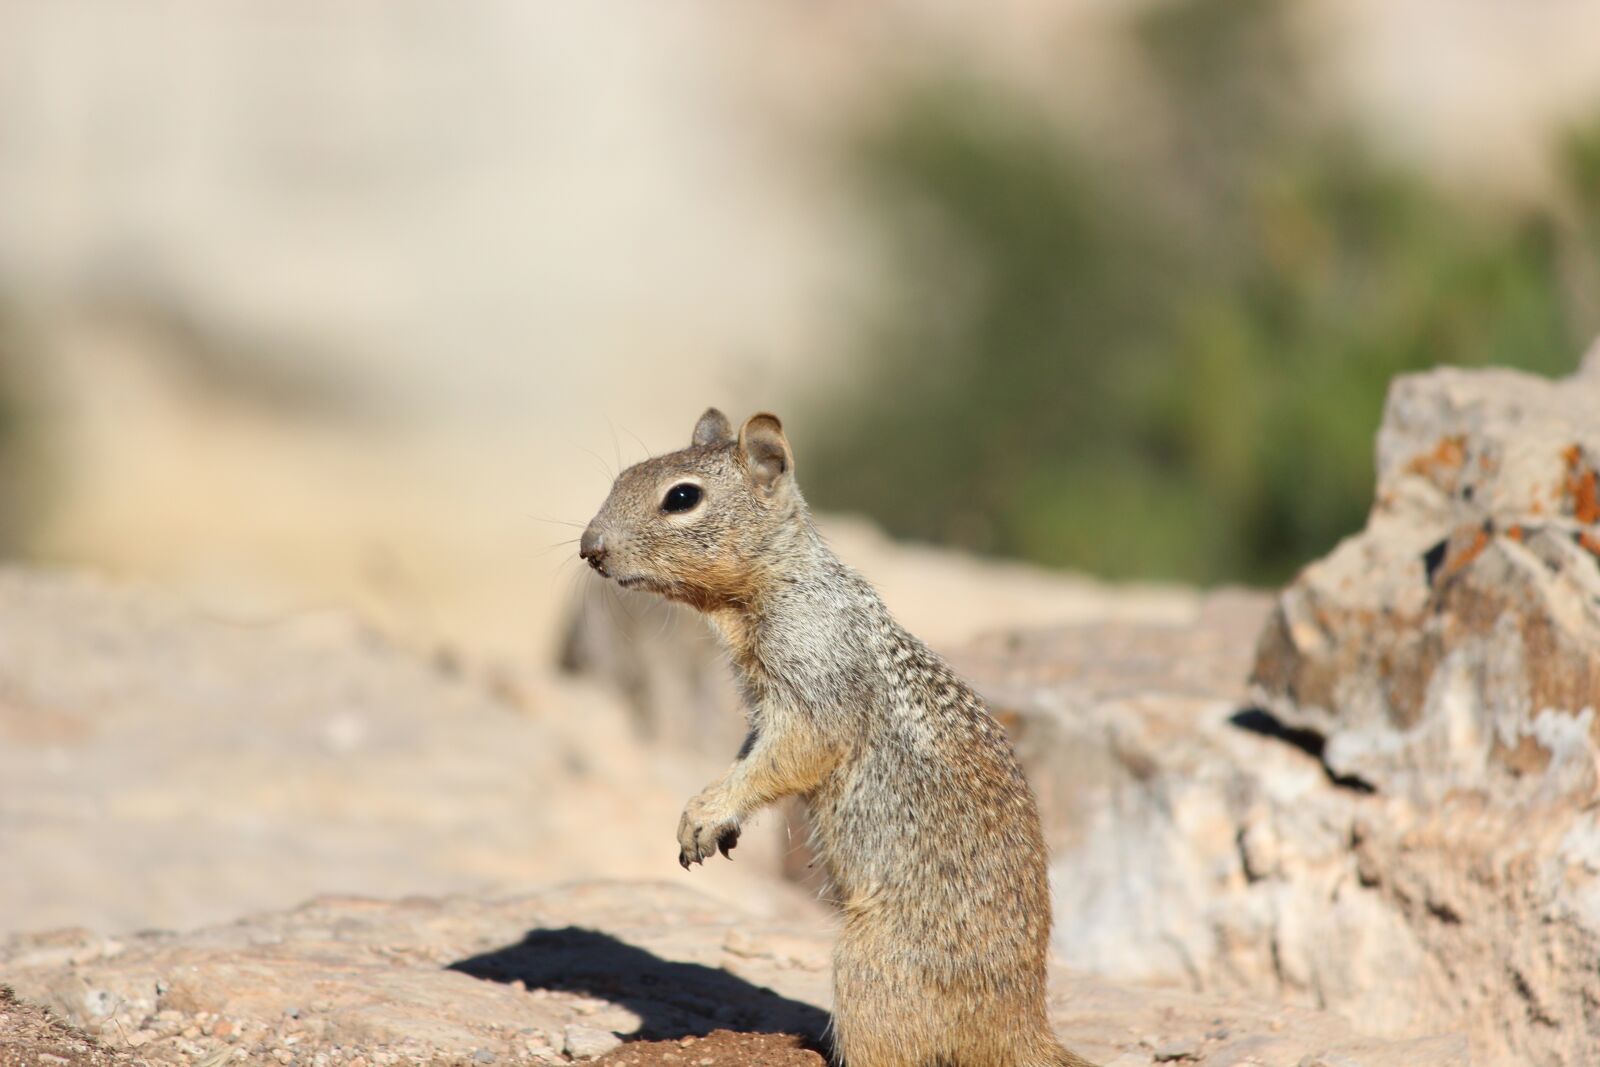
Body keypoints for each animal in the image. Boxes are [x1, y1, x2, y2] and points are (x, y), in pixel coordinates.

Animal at [582, 409, 1094, 1067]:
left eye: (682, 498)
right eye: (621, 478)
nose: (588, 549)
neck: (778, 583)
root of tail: (1022, 1023)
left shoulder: (812, 681)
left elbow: (792, 753)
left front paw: (707, 811)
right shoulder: (762, 709)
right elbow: (750, 755)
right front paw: (717, 817)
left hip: (867, 967)